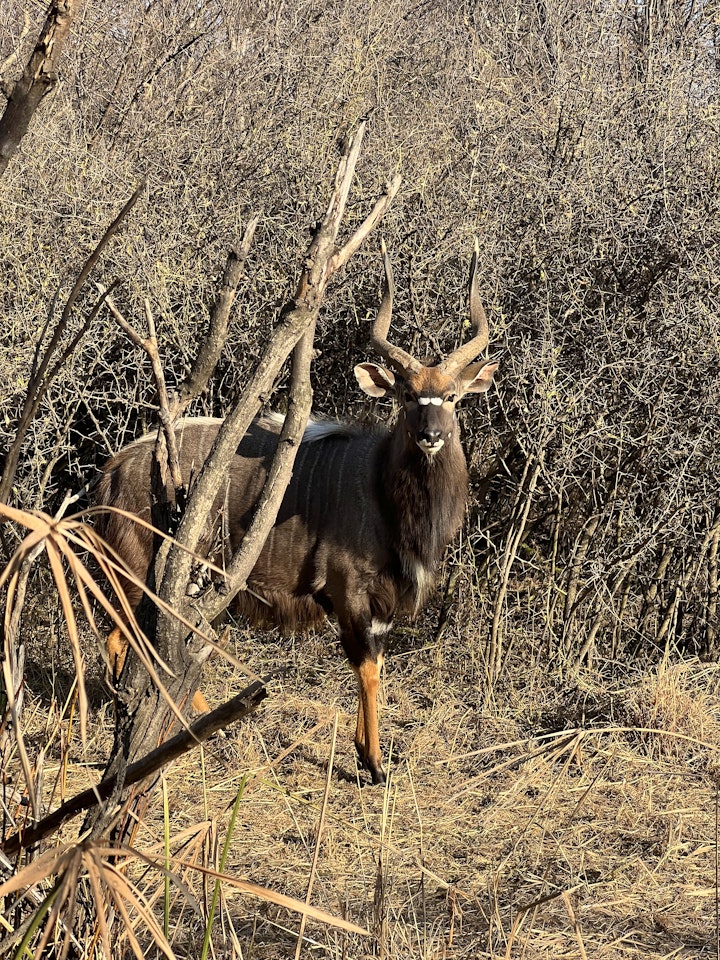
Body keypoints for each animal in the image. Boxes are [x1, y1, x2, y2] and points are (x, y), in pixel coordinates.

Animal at [98, 244, 498, 784]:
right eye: (407, 395)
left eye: (452, 397)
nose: (431, 435)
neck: (381, 488)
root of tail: (113, 470)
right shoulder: (348, 591)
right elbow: (366, 667)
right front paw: (374, 764)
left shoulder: (379, 606)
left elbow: (374, 663)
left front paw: (365, 752)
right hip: (141, 576)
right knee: (125, 642)